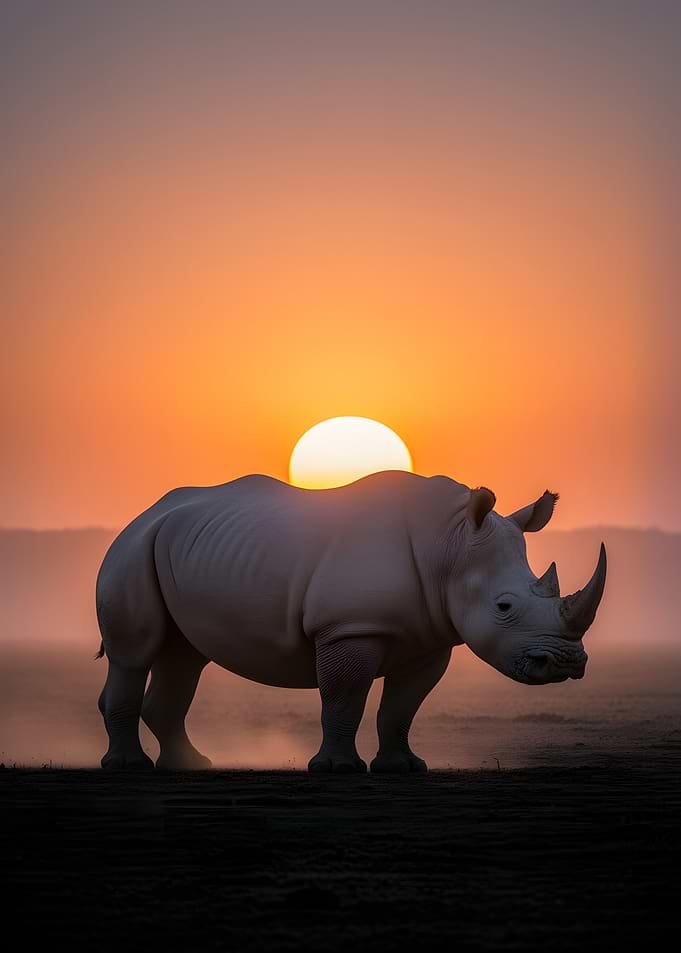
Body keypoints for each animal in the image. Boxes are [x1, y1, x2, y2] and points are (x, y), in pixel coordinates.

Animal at [95, 471, 606, 773]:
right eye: (503, 607)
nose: (565, 663)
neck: (449, 545)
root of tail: (145, 514)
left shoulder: (430, 638)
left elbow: (403, 705)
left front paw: (403, 767)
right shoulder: (349, 626)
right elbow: (345, 698)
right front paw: (337, 770)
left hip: (179, 549)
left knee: (184, 656)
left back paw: (191, 765)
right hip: (131, 550)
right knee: (134, 653)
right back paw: (128, 767)